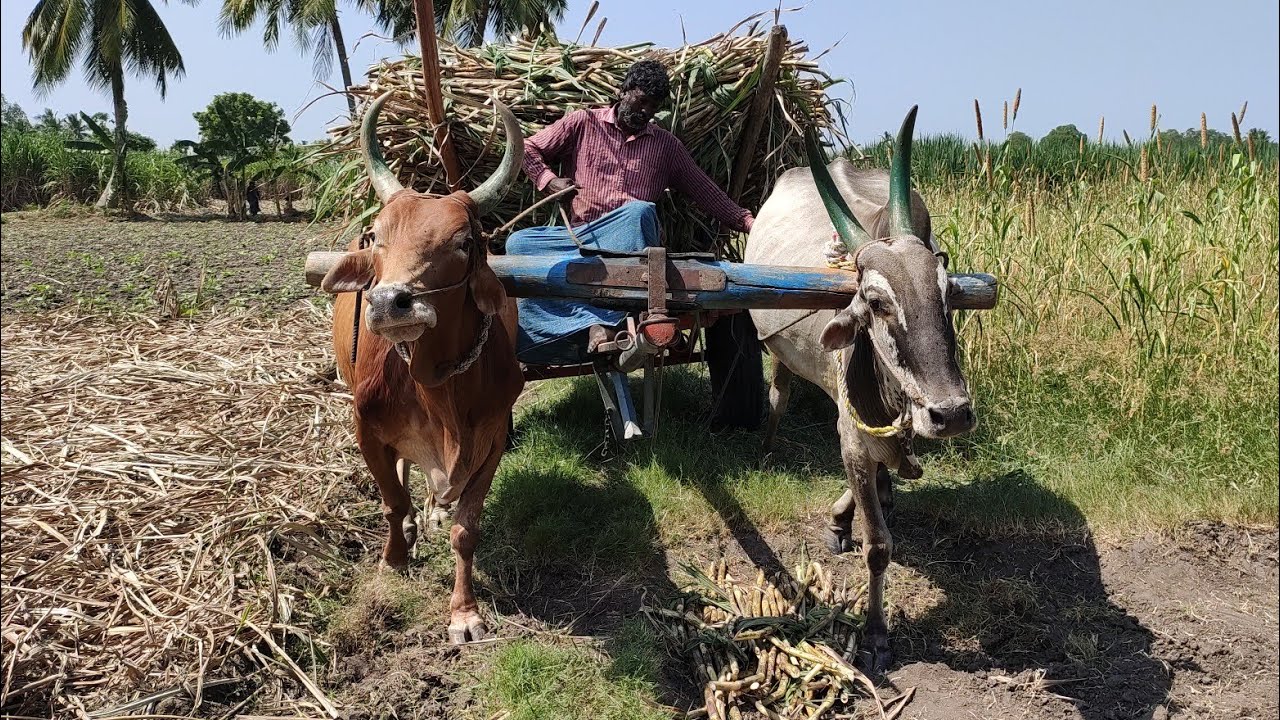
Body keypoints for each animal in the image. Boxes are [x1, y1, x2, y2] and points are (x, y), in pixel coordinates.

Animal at [320, 92, 525, 644]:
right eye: (377, 236)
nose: (389, 303)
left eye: (463, 242)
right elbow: (392, 500)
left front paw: (464, 613)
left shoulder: (493, 438)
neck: (436, 383)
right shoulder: (365, 428)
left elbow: (466, 529)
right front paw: (394, 558)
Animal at [745, 107, 977, 672]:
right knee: (779, 395)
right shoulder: (850, 434)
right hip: (778, 352)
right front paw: (874, 633)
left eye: (947, 293)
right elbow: (877, 544)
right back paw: (767, 444)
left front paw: (846, 514)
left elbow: (883, 470)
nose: (952, 413)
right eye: (875, 302)